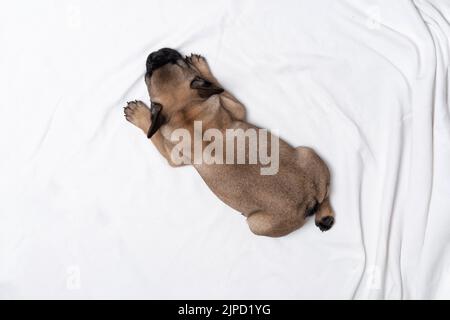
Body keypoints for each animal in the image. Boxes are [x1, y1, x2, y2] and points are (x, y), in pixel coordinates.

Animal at [124, 48, 334, 238]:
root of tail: (308, 202)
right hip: (307, 153)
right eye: (150, 72)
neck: (184, 111)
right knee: (325, 194)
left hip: (256, 223)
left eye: (175, 61)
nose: (155, 53)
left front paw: (139, 114)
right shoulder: (229, 106)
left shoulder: (173, 156)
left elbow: (155, 135)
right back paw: (324, 216)